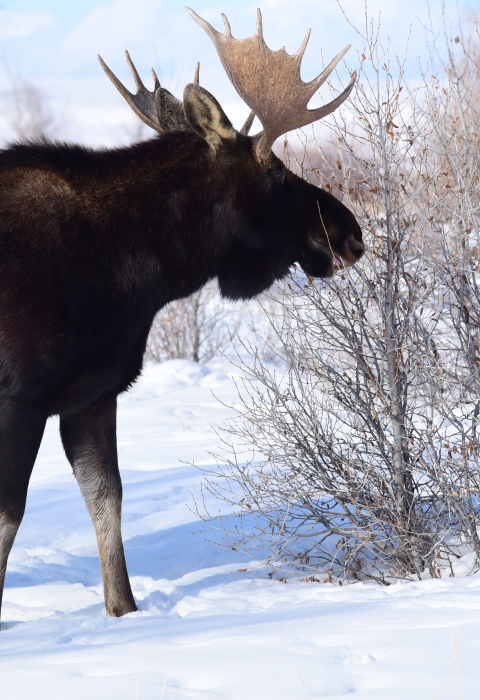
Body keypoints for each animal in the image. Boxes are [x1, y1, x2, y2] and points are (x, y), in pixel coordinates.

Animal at [0, 8, 364, 625]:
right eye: (277, 174)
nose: (351, 233)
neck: (135, 272)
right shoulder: (19, 398)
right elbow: (10, 519)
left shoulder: (92, 393)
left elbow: (107, 500)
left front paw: (123, 612)